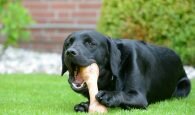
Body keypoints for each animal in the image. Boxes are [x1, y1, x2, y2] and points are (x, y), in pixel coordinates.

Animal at [61, 30, 190, 112]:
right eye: (68, 43)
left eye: (90, 43)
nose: (70, 52)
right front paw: (84, 105)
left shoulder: (139, 96)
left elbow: (122, 94)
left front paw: (108, 95)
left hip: (185, 85)